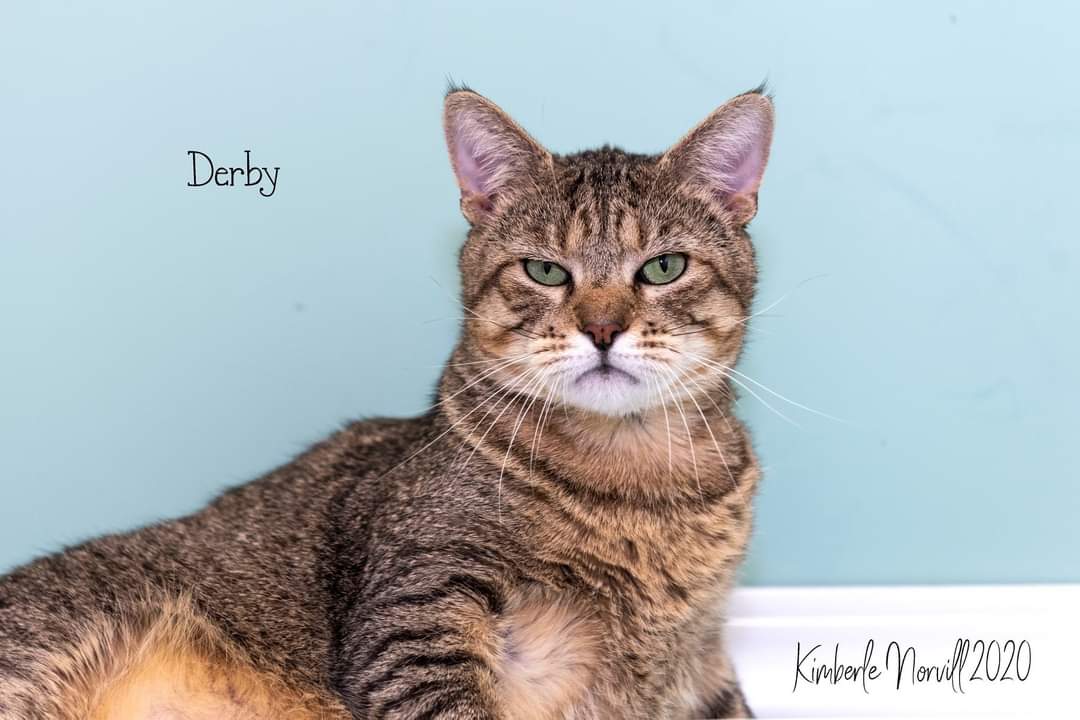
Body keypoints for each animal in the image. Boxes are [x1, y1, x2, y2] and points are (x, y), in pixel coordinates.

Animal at [0, 85, 773, 719]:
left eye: (664, 268)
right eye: (546, 271)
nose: (604, 329)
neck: (640, 492)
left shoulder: (701, 669)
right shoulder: (415, 616)